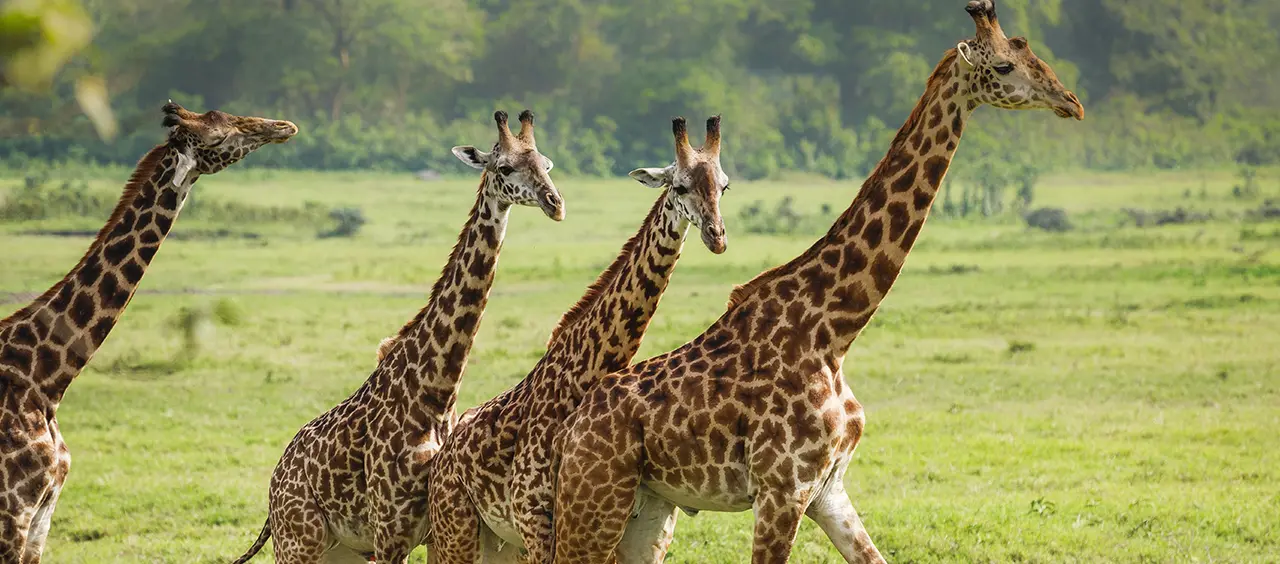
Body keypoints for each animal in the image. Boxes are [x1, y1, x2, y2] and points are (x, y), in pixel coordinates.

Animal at [231, 109, 570, 562]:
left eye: (546, 164)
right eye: (504, 167)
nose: (555, 204)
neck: (437, 391)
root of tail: (272, 490)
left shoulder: (430, 527)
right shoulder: (390, 531)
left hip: (341, 550)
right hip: (298, 541)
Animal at [427, 115, 732, 562]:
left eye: (724, 186)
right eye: (679, 186)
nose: (717, 236)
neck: (586, 372)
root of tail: (441, 458)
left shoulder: (634, 528)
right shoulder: (537, 519)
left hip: (501, 543)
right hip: (457, 531)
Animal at [550, 2, 1080, 560]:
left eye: (1030, 51)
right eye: (1003, 65)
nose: (1072, 102)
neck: (835, 330)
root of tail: (568, 430)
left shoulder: (829, 488)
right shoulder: (782, 488)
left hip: (647, 506)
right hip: (594, 500)